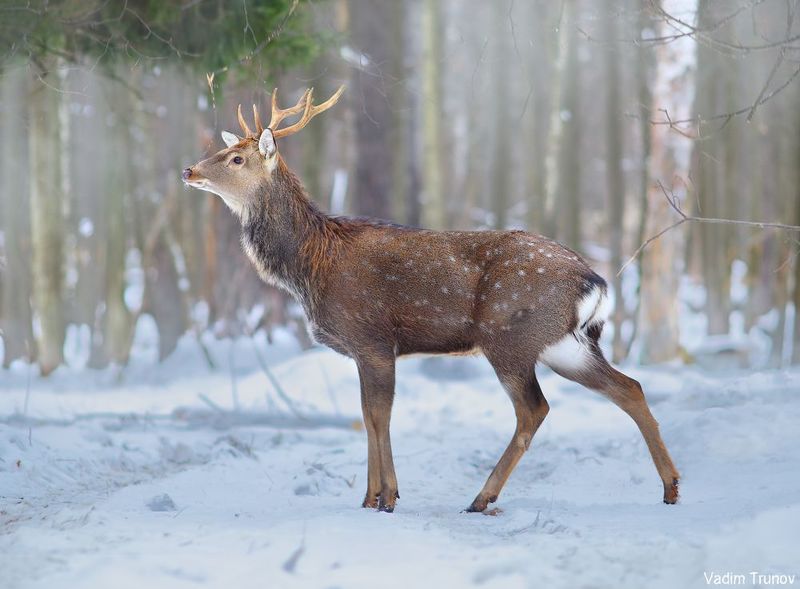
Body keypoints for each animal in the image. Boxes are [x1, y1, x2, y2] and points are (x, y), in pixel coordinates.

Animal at [183, 85, 680, 512]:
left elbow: (379, 416)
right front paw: (370, 498)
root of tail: (595, 281)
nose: (189, 170)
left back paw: (481, 497)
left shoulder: (373, 338)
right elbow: (366, 415)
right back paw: (671, 487)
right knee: (629, 387)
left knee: (534, 410)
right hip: (565, 343)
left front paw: (385, 498)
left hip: (511, 337)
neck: (311, 266)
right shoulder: (364, 350)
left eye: (236, 157)